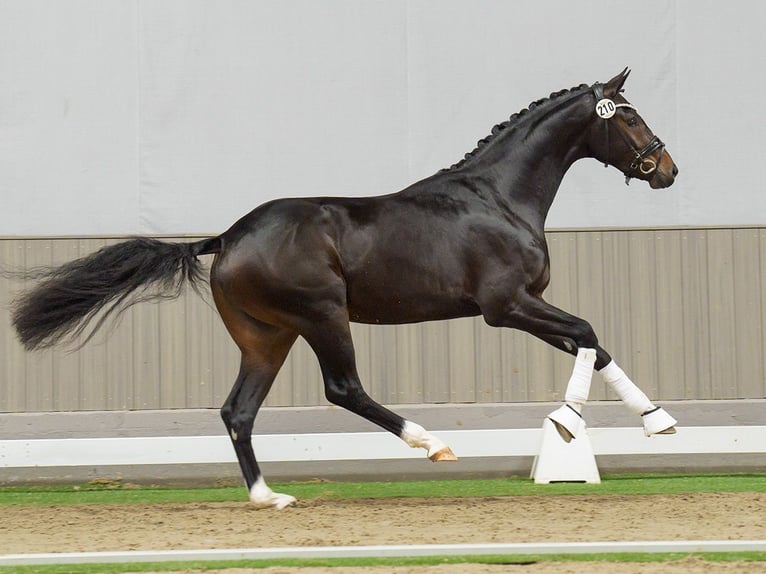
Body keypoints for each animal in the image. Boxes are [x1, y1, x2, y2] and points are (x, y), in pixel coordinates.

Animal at [12, 71, 680, 508]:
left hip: (268, 337)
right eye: (628, 114)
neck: (498, 198)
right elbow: (588, 332)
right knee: (343, 388)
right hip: (323, 316)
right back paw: (432, 444)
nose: (668, 169)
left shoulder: (523, 307)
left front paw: (658, 422)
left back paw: (268, 497)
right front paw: (567, 424)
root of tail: (227, 237)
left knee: (238, 411)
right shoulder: (507, 306)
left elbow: (595, 344)